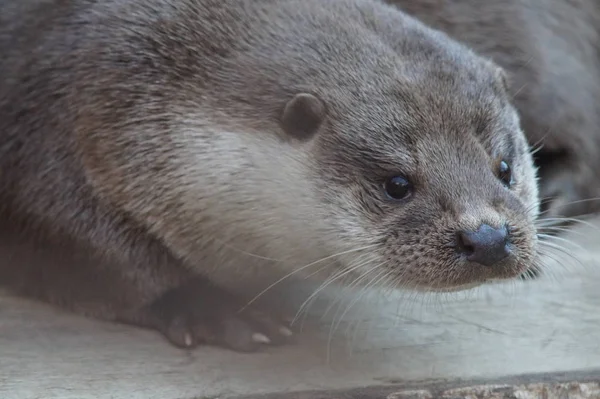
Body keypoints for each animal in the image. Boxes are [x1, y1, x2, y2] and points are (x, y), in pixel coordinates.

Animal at [0, 0, 540, 354]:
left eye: (504, 168)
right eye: (397, 184)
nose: (487, 237)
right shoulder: (41, 138)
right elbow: (101, 256)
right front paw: (210, 308)